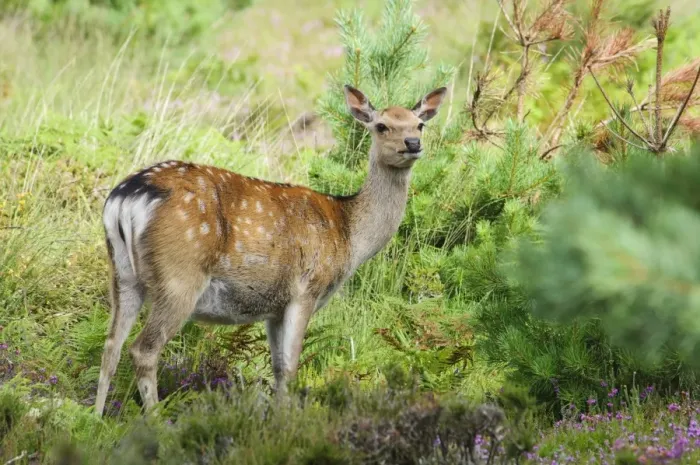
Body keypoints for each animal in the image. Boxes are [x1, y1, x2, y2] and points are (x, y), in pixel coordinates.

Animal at [94, 84, 447, 416]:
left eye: (419, 124)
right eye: (382, 126)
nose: (413, 143)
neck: (349, 236)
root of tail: (125, 199)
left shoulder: (274, 307)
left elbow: (277, 368)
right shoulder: (306, 289)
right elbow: (290, 367)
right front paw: (284, 424)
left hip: (122, 274)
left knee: (110, 345)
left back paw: (95, 418)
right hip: (179, 275)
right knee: (143, 349)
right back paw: (154, 420)